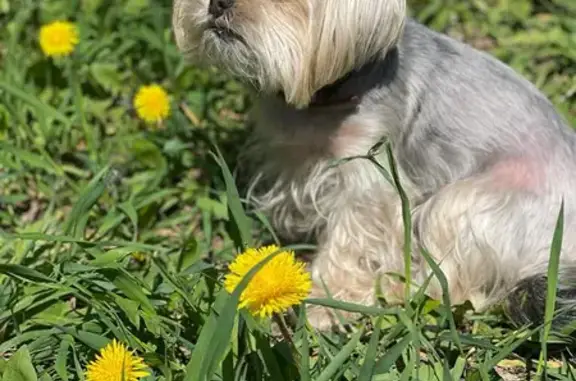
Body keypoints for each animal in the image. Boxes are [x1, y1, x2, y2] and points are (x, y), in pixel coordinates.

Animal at [173, 0, 576, 330]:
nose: (218, 1)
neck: (329, 94)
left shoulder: (368, 176)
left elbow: (351, 242)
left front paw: (325, 305)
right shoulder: (290, 157)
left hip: (468, 203)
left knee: (459, 289)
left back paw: (395, 290)